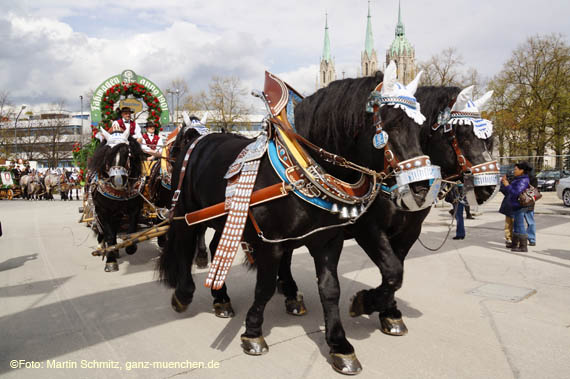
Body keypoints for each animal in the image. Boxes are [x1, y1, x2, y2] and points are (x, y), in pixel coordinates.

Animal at [89, 137, 145, 274]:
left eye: (128, 154)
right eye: (107, 154)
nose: (118, 180)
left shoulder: (135, 208)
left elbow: (131, 229)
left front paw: (130, 247)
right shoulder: (103, 211)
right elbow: (108, 234)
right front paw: (110, 261)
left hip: (117, 214)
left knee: (114, 228)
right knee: (103, 230)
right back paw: (102, 247)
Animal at [155, 71, 430, 374]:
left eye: (421, 128)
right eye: (391, 124)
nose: (421, 188)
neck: (302, 167)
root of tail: (197, 139)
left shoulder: (329, 240)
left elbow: (333, 289)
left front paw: (342, 341)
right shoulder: (273, 242)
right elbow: (264, 287)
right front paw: (253, 332)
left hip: (225, 219)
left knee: (216, 247)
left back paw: (221, 299)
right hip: (186, 211)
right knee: (183, 244)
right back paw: (183, 295)